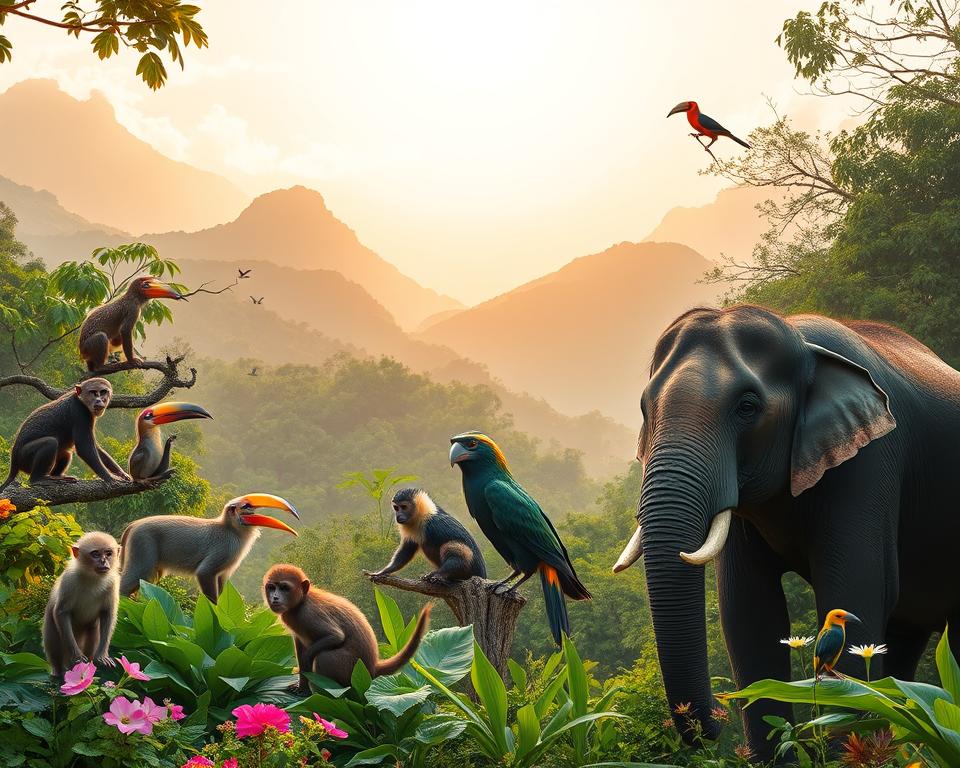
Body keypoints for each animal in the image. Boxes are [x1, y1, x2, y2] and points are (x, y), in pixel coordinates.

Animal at [0, 378, 130, 491]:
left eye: (103, 392)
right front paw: (109, 477)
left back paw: (57, 476)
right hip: (25, 457)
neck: (80, 399)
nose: (99, 400)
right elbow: (84, 448)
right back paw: (38, 479)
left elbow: (96, 448)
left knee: (66, 452)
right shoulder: (79, 412)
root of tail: (14, 460)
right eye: (93, 392)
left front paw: (121, 473)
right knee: (50, 443)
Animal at [43, 531, 121, 678]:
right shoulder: (69, 579)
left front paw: (101, 656)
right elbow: (62, 612)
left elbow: (107, 614)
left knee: (92, 629)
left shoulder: (112, 582)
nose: (103, 561)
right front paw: (77, 656)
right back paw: (60, 671)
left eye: (108, 553)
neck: (92, 577)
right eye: (95, 554)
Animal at [119, 494, 299, 603]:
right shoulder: (225, 547)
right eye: (246, 507)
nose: (252, 510)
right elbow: (204, 572)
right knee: (138, 574)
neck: (232, 529)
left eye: (252, 508)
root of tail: (133, 526)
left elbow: (222, 581)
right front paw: (215, 611)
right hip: (143, 544)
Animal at [263, 563, 432, 692]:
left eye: (284, 588)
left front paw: (305, 686)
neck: (301, 601)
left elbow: (335, 637)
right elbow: (301, 653)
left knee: (323, 657)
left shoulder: (308, 613)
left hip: (350, 668)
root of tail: (372, 668)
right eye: (271, 588)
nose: (275, 598)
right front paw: (301, 686)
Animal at [613, 304, 960, 758]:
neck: (799, 338)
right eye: (644, 407)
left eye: (747, 406)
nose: (715, 722)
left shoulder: (872, 462)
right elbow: (749, 615)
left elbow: (856, 592)